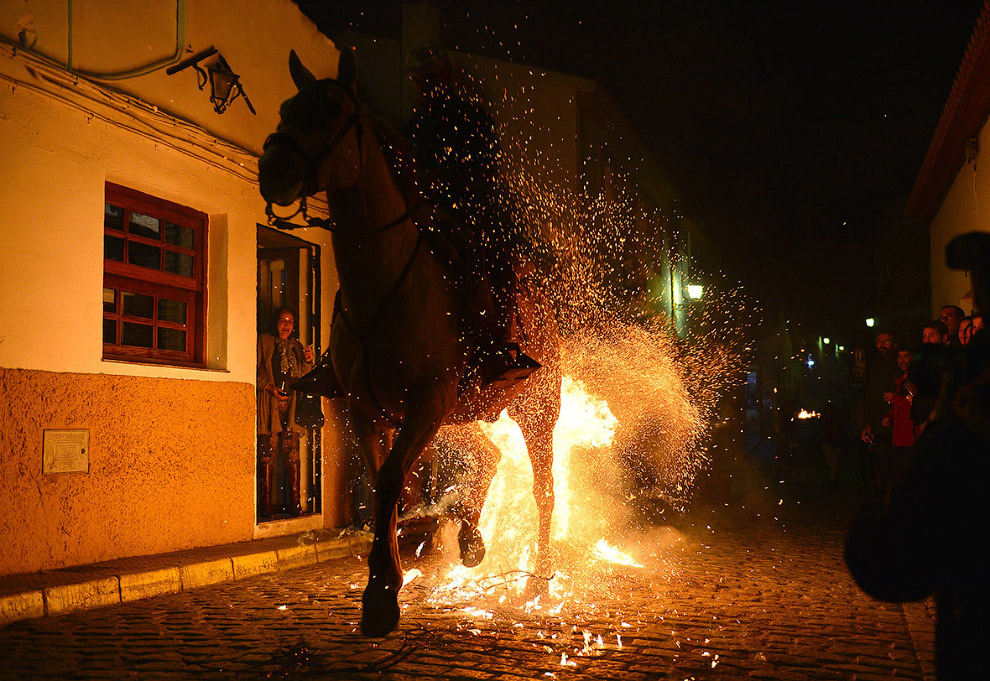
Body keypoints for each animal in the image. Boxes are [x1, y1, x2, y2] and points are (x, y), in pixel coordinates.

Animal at [256, 49, 560, 636]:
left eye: (332, 110)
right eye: (285, 107)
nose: (273, 169)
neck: (387, 285)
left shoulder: (426, 401)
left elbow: (395, 479)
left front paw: (381, 592)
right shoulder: (366, 408)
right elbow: (383, 486)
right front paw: (388, 577)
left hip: (534, 412)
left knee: (543, 490)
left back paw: (540, 575)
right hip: (468, 413)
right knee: (487, 455)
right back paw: (471, 538)